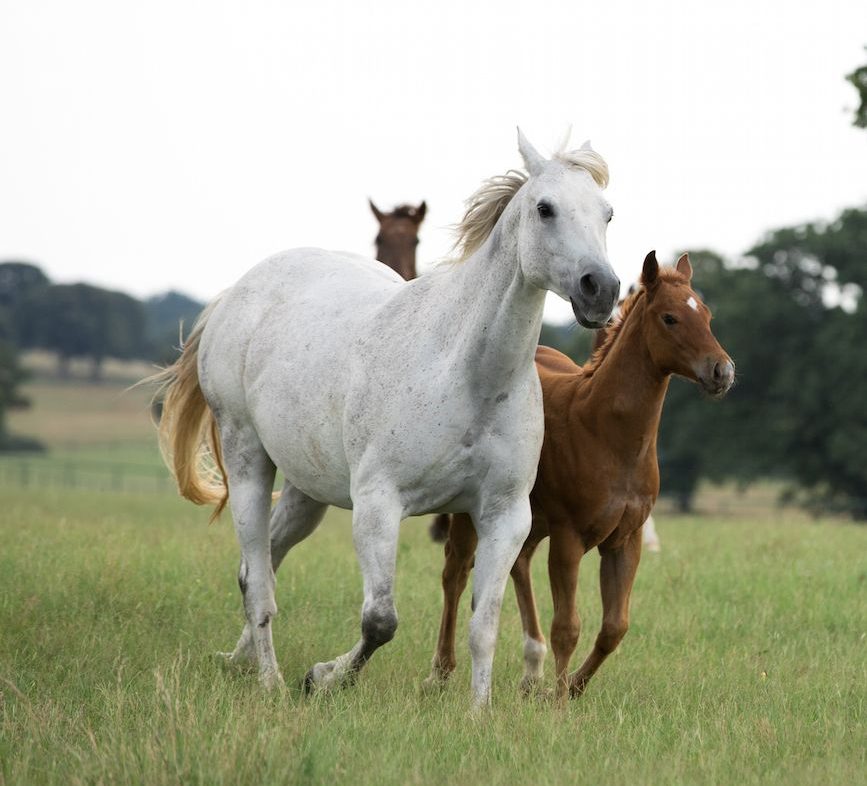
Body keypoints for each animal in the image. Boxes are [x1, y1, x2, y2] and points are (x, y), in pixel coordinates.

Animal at [154, 130, 616, 704]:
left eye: (607, 213)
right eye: (545, 208)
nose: (602, 289)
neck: (466, 372)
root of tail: (236, 293)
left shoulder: (504, 517)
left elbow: (483, 627)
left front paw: (478, 713)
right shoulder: (379, 505)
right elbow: (380, 621)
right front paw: (324, 676)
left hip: (308, 491)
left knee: (259, 563)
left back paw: (239, 661)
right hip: (247, 463)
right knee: (259, 579)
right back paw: (271, 681)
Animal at [426, 251, 732, 700]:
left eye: (707, 314)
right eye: (670, 318)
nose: (722, 371)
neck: (605, 432)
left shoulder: (626, 539)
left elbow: (614, 627)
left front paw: (570, 687)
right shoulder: (569, 538)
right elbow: (567, 627)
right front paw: (559, 702)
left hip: (530, 518)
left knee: (517, 565)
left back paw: (531, 671)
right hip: (475, 511)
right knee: (455, 573)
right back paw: (442, 670)